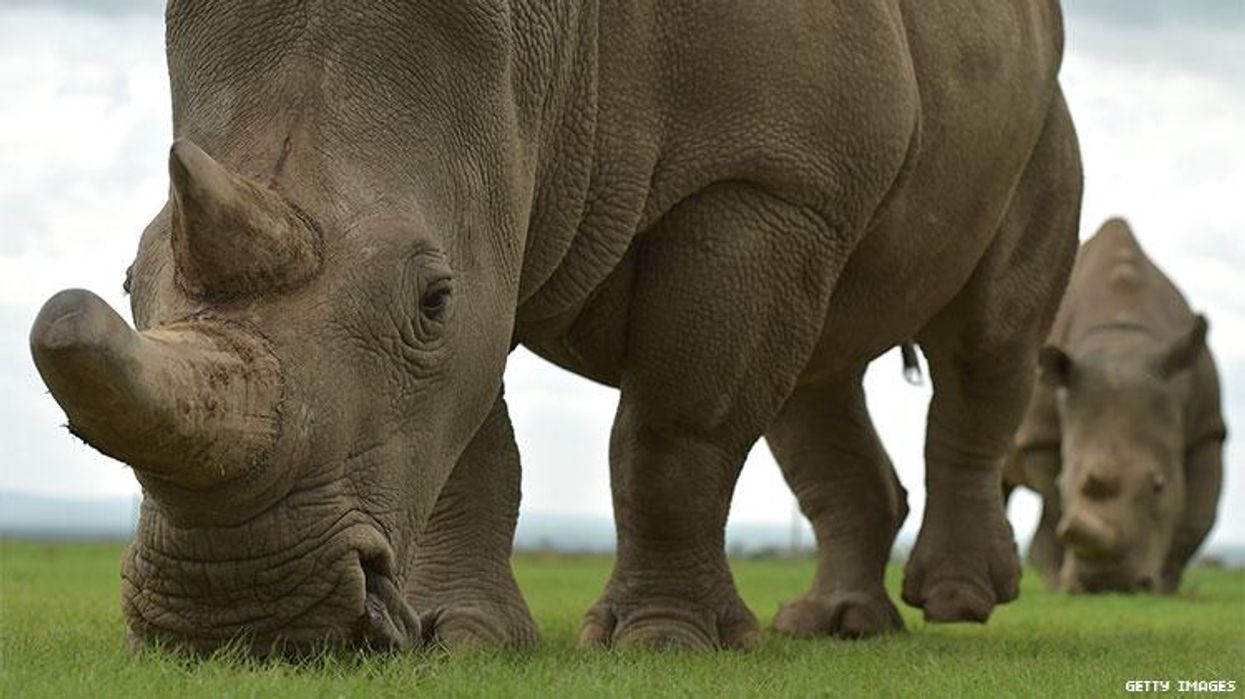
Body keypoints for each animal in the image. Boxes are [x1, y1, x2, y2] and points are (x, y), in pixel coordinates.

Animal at [29, 1, 1081, 654]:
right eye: (128, 281)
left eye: (431, 299)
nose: (236, 607)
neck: (542, 44)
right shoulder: (493, 187)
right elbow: (468, 440)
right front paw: (458, 637)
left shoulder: (763, 177)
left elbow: (675, 433)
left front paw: (663, 643)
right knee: (815, 373)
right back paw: (835, 625)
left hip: (1033, 119)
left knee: (985, 341)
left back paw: (957, 602)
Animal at [1004, 218, 1226, 594]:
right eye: (1063, 482)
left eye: (1159, 485)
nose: (1107, 585)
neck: (1122, 338)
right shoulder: (1040, 435)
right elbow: (1056, 505)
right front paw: (1066, 583)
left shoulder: (1208, 428)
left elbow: (1197, 518)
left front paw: (1167, 588)